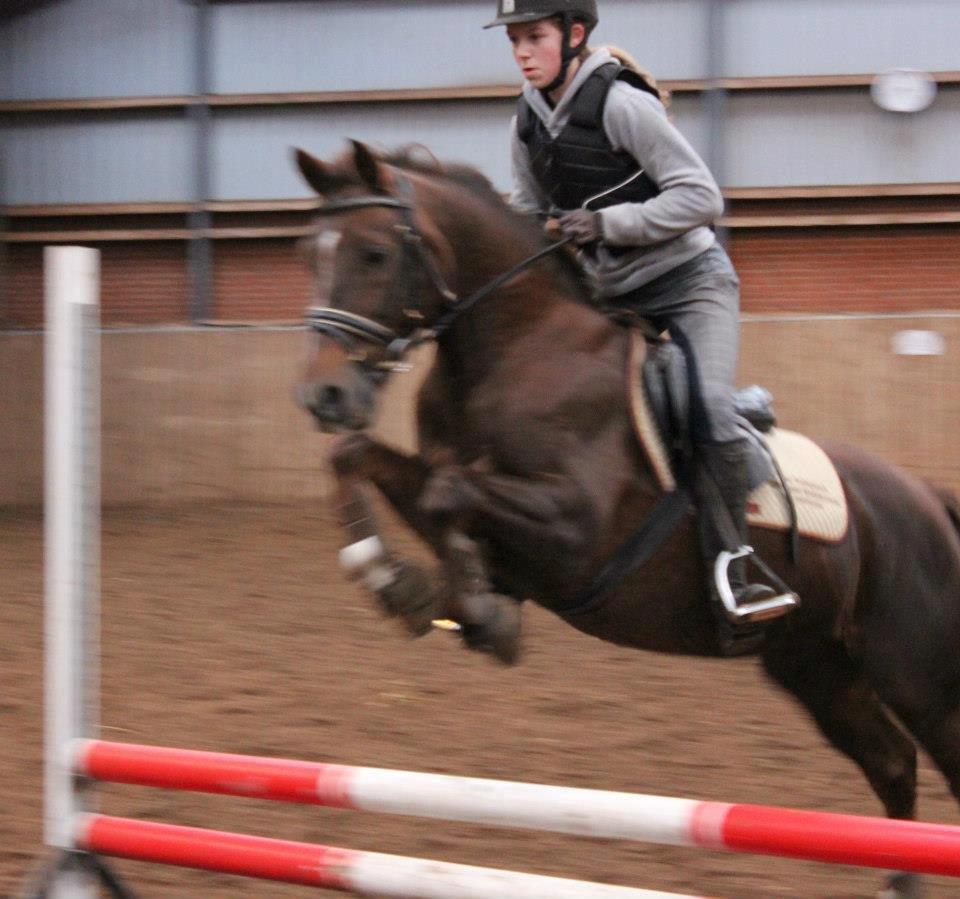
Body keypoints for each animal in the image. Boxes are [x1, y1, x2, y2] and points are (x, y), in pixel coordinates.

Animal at [292, 140, 960, 899]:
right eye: (308, 253)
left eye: (374, 253)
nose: (324, 394)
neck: (514, 345)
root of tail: (927, 499)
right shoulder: (448, 481)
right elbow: (369, 462)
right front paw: (406, 584)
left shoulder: (578, 533)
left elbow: (449, 493)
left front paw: (475, 606)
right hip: (818, 667)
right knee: (893, 763)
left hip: (919, 676)